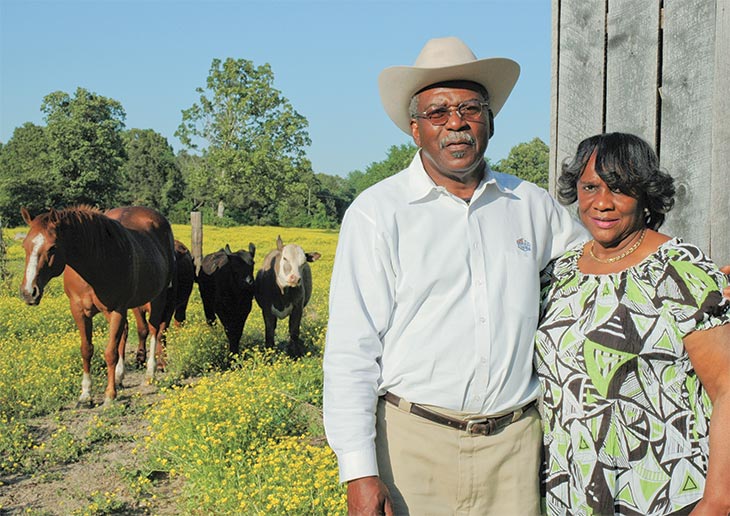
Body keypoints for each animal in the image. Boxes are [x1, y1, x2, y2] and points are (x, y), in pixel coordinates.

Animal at [20, 207, 175, 408]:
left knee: (154, 330)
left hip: (158, 297)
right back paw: (119, 376)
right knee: (126, 333)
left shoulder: (117, 310)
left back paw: (150, 373)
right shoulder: (79, 311)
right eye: (24, 245)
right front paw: (86, 395)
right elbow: (87, 350)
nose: (28, 292)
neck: (93, 264)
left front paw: (109, 395)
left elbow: (110, 353)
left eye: (52, 247)